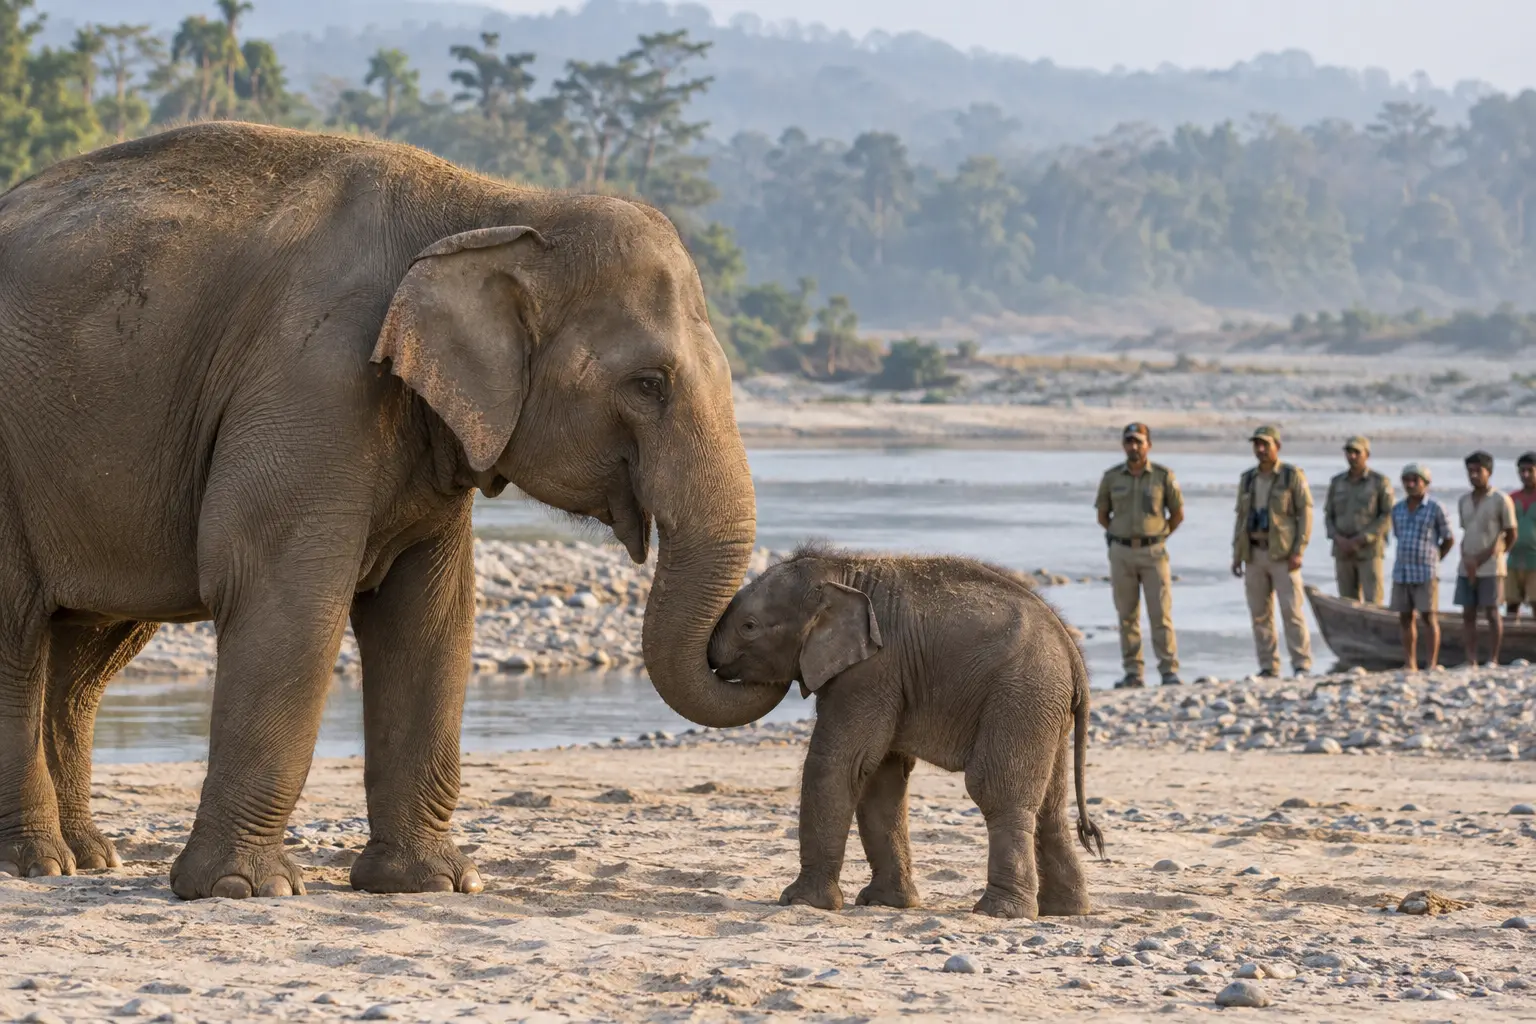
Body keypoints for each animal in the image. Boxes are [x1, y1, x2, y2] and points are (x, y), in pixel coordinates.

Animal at [0, 121, 788, 898]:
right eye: (649, 384)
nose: (749, 643)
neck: (497, 205)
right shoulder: (311, 375)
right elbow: (282, 597)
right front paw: (246, 889)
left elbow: (430, 618)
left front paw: (431, 883)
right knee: (19, 633)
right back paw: (39, 863)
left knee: (84, 656)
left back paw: (89, 858)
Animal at [708, 544, 1104, 920]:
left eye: (749, 626)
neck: (842, 570)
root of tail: (1074, 657)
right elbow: (879, 777)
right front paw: (885, 902)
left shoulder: (872, 670)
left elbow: (839, 763)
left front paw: (801, 901)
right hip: (1045, 708)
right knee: (1051, 807)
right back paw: (1066, 909)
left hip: (1021, 696)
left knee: (995, 790)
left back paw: (1000, 912)